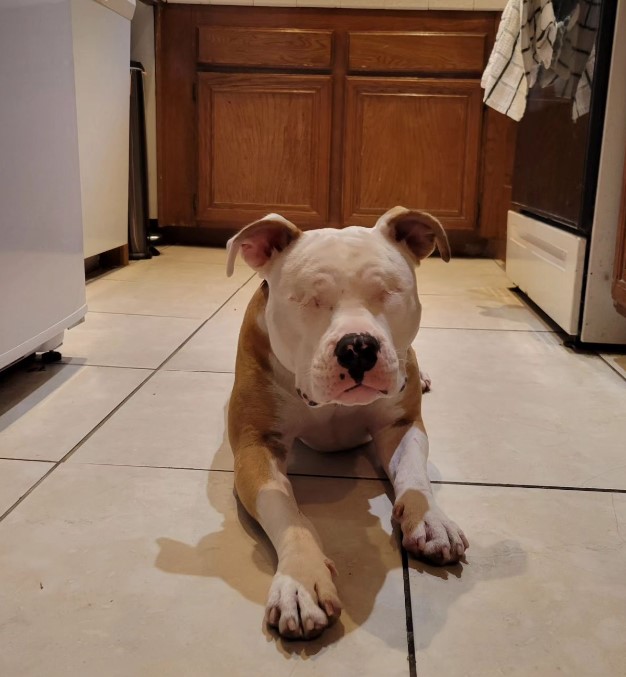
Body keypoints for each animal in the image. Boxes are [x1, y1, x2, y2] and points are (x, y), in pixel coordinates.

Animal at [224, 206, 464, 640]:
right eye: (308, 299)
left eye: (388, 292)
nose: (358, 347)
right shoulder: (256, 446)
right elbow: (285, 510)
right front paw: (300, 580)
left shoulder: (402, 425)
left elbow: (414, 475)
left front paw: (431, 519)